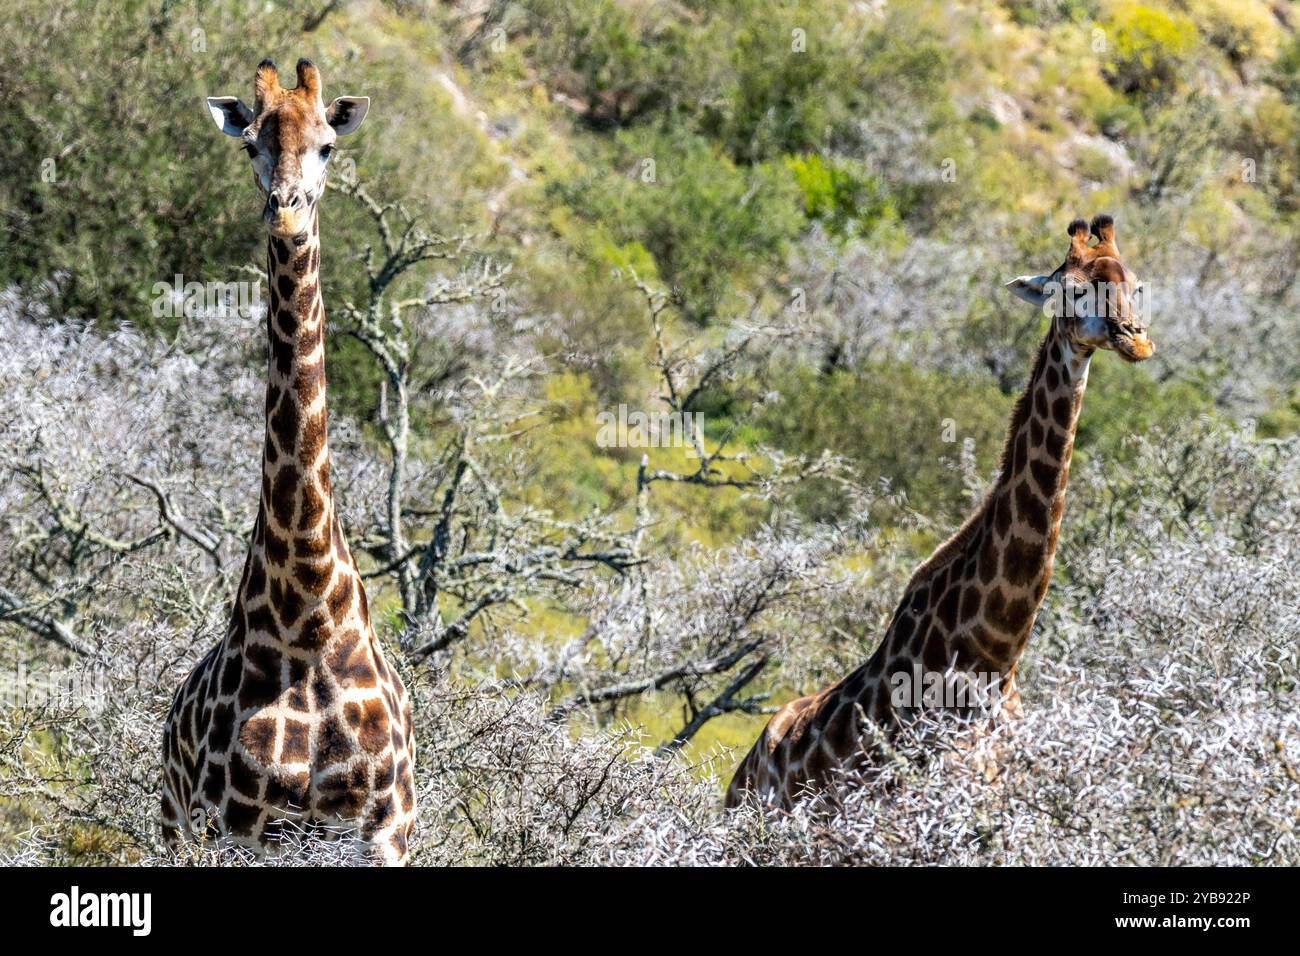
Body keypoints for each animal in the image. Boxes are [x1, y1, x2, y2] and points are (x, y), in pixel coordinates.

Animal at [161, 59, 416, 868]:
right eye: (251, 145)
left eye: (328, 145)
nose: (286, 211)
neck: (306, 617)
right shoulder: (232, 830)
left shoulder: (381, 835)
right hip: (171, 826)